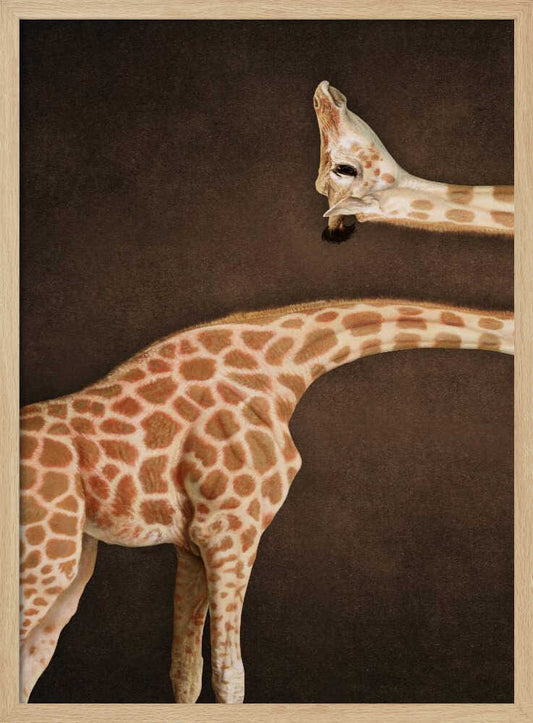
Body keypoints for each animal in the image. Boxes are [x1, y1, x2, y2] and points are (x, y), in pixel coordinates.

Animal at [20, 297, 514, 704]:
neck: (285, 366)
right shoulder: (230, 530)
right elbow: (228, 675)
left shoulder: (192, 544)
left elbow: (186, 672)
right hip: (46, 557)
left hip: (74, 562)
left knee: (32, 659)